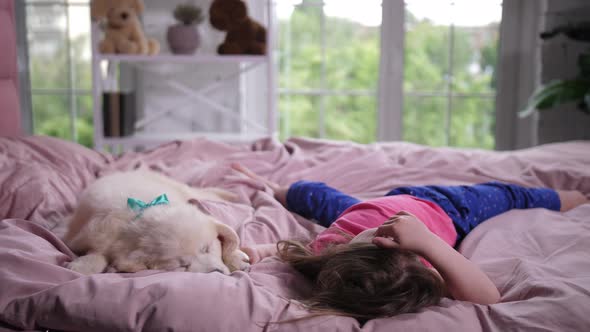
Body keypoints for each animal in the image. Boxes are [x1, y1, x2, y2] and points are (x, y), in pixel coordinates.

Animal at [63, 171, 249, 274]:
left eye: (206, 249)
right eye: (183, 266)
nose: (215, 273)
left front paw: (236, 258)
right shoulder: (94, 235)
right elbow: (98, 253)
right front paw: (84, 266)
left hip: (183, 189)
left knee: (208, 194)